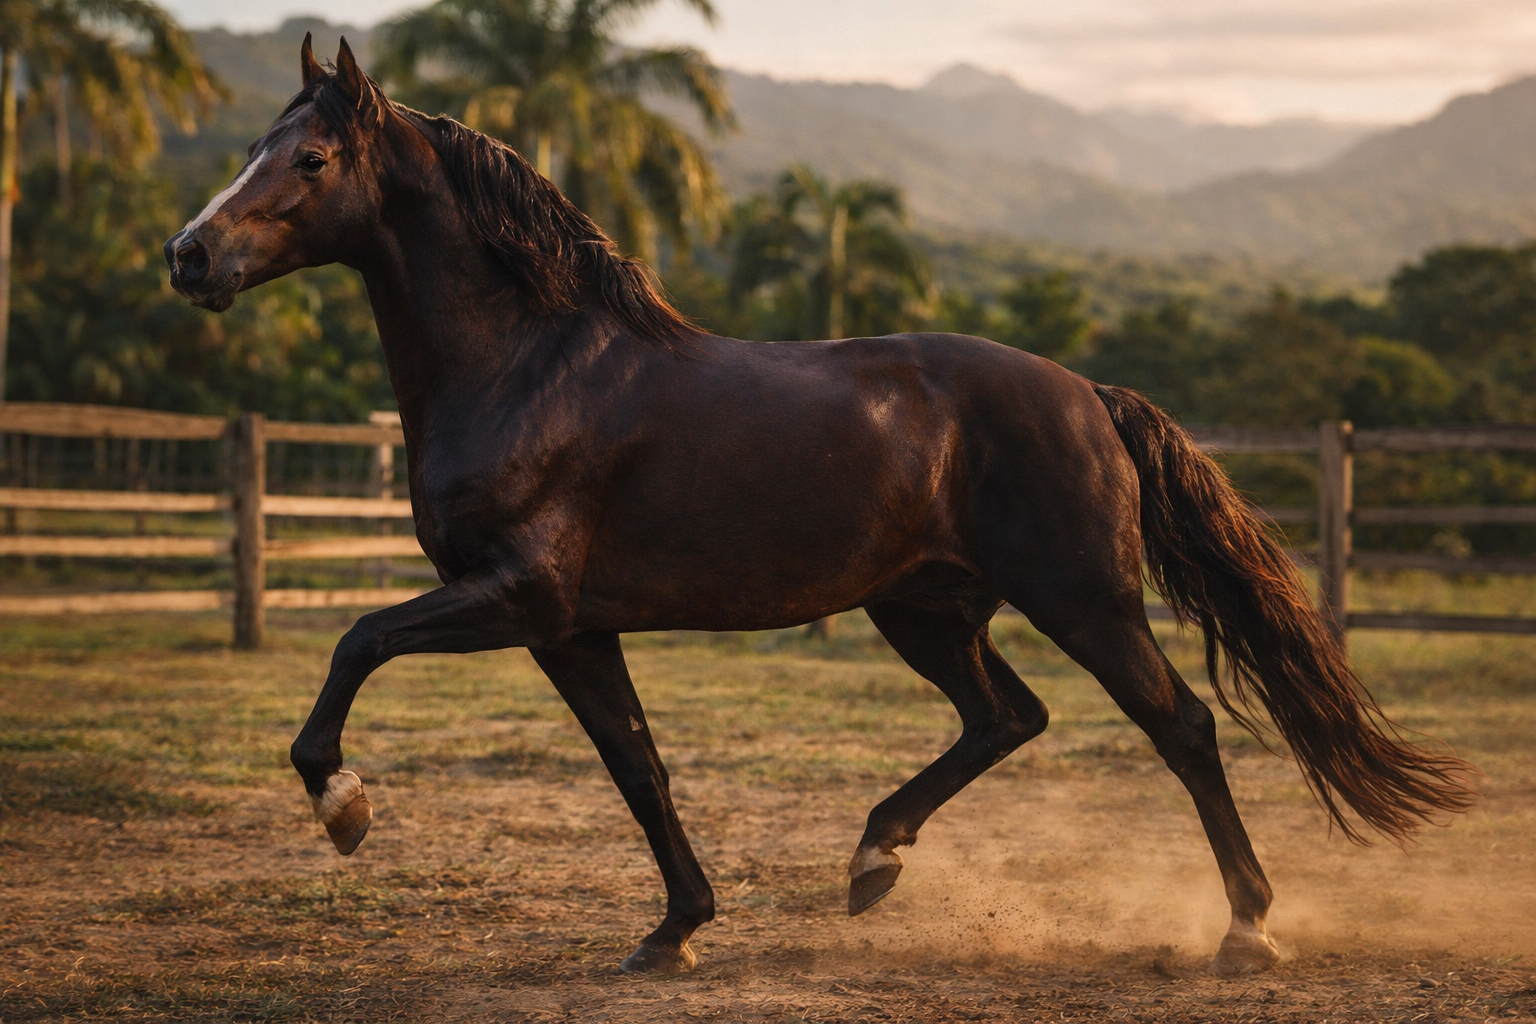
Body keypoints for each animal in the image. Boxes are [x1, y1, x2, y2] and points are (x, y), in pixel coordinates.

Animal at [165, 36, 1474, 977]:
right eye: (254, 146)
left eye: (311, 163)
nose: (189, 258)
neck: (528, 369)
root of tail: (1086, 394)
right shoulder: (572, 628)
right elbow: (640, 768)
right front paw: (674, 931)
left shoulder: (515, 596)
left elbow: (358, 638)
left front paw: (344, 807)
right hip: (926, 610)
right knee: (1009, 717)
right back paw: (873, 859)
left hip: (1084, 600)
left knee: (1182, 727)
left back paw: (1247, 929)